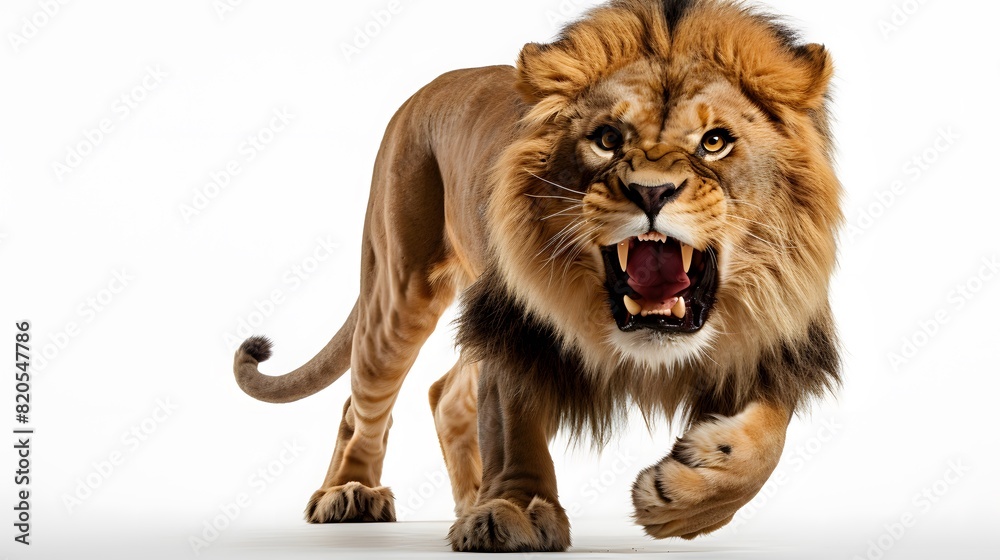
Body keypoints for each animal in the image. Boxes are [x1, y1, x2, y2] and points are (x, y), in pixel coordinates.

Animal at [232, 0, 842, 552]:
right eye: (607, 138)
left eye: (714, 141)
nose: (651, 192)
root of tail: (426, 90)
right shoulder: (516, 324)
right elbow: (515, 422)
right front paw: (515, 510)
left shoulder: (775, 337)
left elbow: (768, 440)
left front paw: (684, 498)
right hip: (397, 290)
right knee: (361, 403)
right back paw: (351, 492)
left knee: (446, 393)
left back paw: (468, 497)